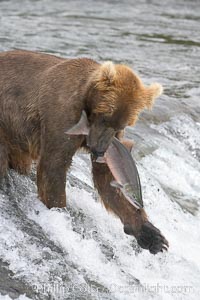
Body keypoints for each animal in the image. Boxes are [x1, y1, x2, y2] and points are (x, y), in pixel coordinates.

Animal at [0, 50, 168, 254]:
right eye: (105, 117)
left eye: (121, 125)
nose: (99, 149)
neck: (87, 101)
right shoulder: (62, 113)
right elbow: (54, 165)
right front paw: (59, 214)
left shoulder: (113, 142)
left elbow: (107, 177)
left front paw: (152, 236)